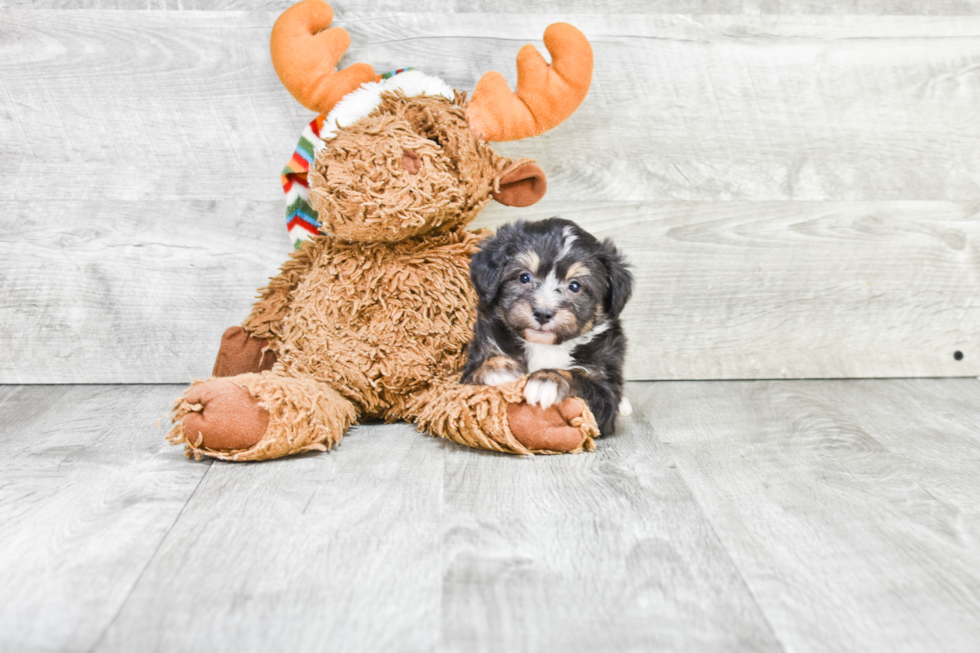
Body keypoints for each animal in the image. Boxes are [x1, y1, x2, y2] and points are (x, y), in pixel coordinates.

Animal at [462, 216, 632, 436]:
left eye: (575, 286)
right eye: (524, 277)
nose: (543, 313)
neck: (544, 345)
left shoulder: (605, 390)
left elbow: (582, 380)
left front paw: (548, 380)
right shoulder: (478, 353)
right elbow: (484, 365)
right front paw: (498, 370)